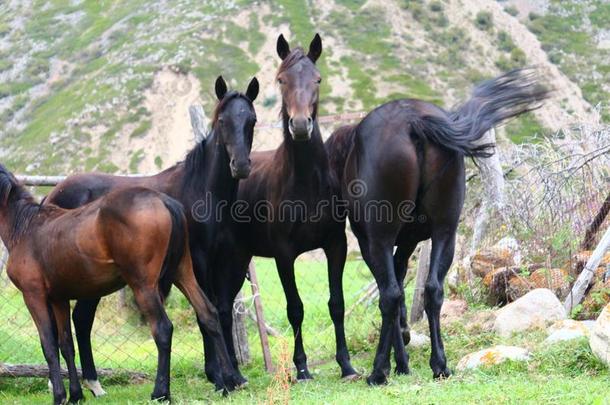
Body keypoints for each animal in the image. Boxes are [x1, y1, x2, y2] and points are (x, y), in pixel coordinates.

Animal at [0, 163, 240, 400]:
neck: (26, 227)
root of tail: (164, 201)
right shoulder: (59, 298)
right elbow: (66, 344)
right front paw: (76, 396)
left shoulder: (34, 296)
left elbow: (49, 345)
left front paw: (60, 397)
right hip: (184, 274)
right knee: (208, 315)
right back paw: (228, 382)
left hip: (143, 286)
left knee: (163, 329)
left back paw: (161, 392)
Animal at [45, 76, 258, 392]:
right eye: (222, 120)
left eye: (252, 120)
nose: (240, 166)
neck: (200, 190)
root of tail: (52, 195)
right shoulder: (198, 262)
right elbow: (204, 313)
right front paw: (218, 376)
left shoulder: (222, 263)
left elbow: (220, 312)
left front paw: (233, 375)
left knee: (81, 319)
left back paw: (94, 383)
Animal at [204, 34, 356, 378]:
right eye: (282, 80)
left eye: (317, 79)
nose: (300, 125)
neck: (305, 183)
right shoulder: (284, 255)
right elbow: (295, 308)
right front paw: (301, 368)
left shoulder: (335, 245)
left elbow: (337, 303)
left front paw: (346, 364)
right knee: (216, 309)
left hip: (237, 258)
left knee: (223, 307)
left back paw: (235, 372)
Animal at [326, 68, 548, 384]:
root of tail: (414, 121)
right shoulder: (408, 244)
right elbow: (403, 281)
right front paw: (403, 352)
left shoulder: (373, 244)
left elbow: (392, 290)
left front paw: (397, 360)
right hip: (445, 232)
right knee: (432, 290)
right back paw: (439, 364)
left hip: (381, 238)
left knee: (390, 295)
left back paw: (378, 371)